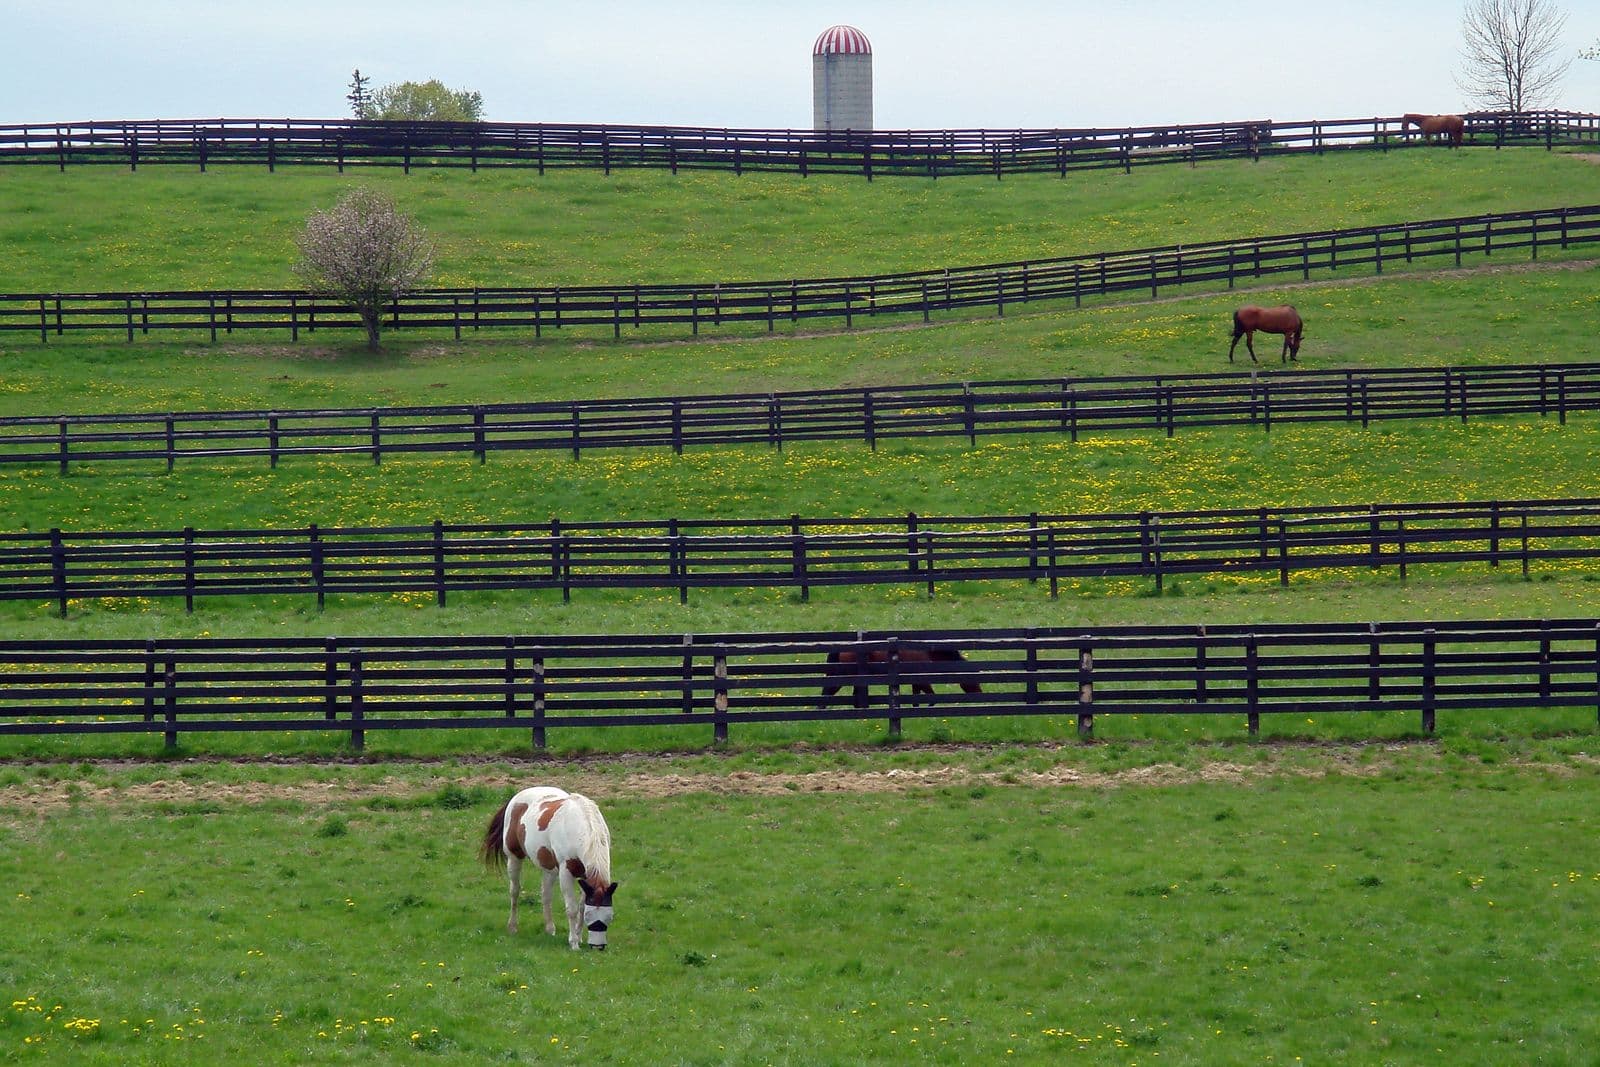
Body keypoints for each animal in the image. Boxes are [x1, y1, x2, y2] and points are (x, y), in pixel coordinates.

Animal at [481, 786, 618, 950]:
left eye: (609, 916)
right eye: (590, 916)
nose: (598, 947)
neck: (581, 825)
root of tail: (515, 798)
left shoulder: (586, 876)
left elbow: (581, 907)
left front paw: (579, 937)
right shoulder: (566, 872)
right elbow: (572, 909)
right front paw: (573, 943)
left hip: (549, 868)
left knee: (546, 895)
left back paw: (550, 929)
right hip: (514, 858)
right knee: (514, 891)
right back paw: (512, 927)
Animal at [818, 643, 982, 708]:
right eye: (973, 678)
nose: (980, 694)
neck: (926, 652)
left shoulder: (916, 682)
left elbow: (916, 699)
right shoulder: (922, 681)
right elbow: (931, 697)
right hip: (841, 678)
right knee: (827, 693)